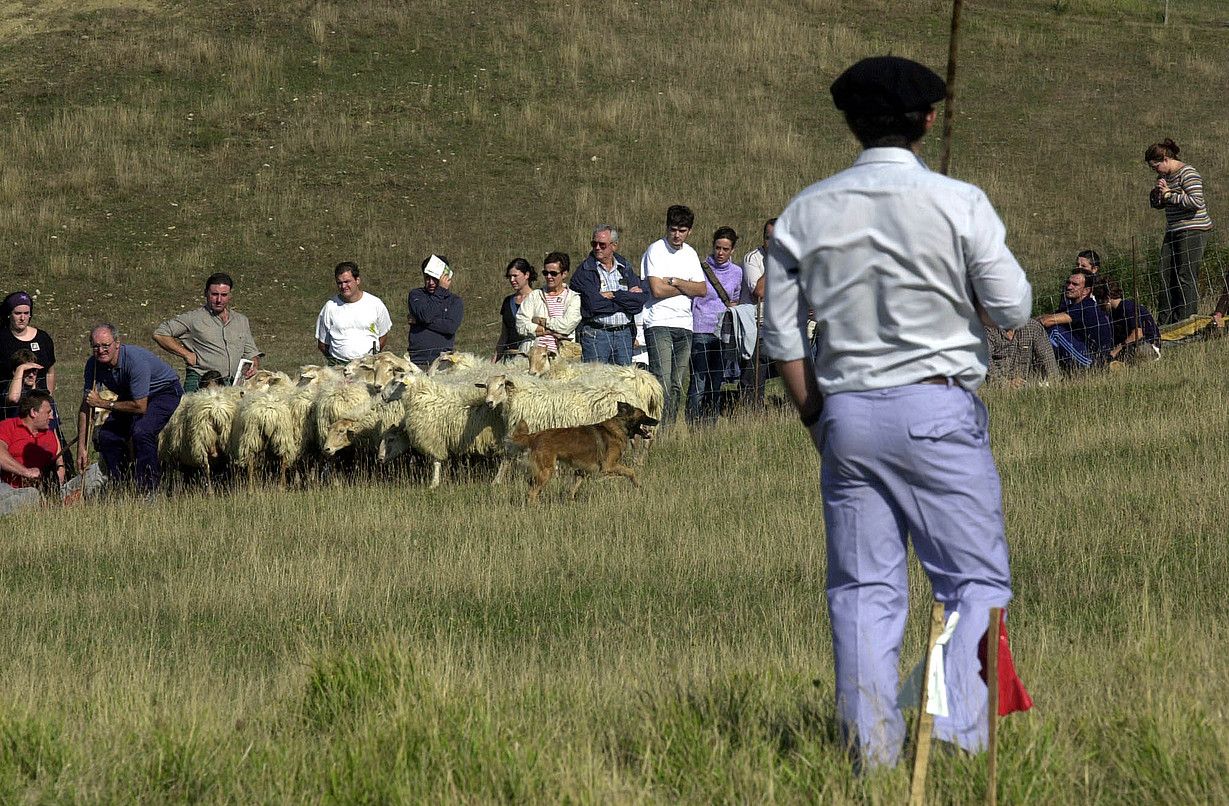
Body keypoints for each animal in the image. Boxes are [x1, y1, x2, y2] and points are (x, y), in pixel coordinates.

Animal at [506, 400, 658, 501]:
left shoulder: (581, 471)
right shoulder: (609, 466)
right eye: (644, 414)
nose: (657, 421)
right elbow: (631, 472)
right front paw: (638, 485)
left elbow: (572, 490)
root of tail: (535, 435)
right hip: (546, 471)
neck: (620, 427)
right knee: (531, 494)